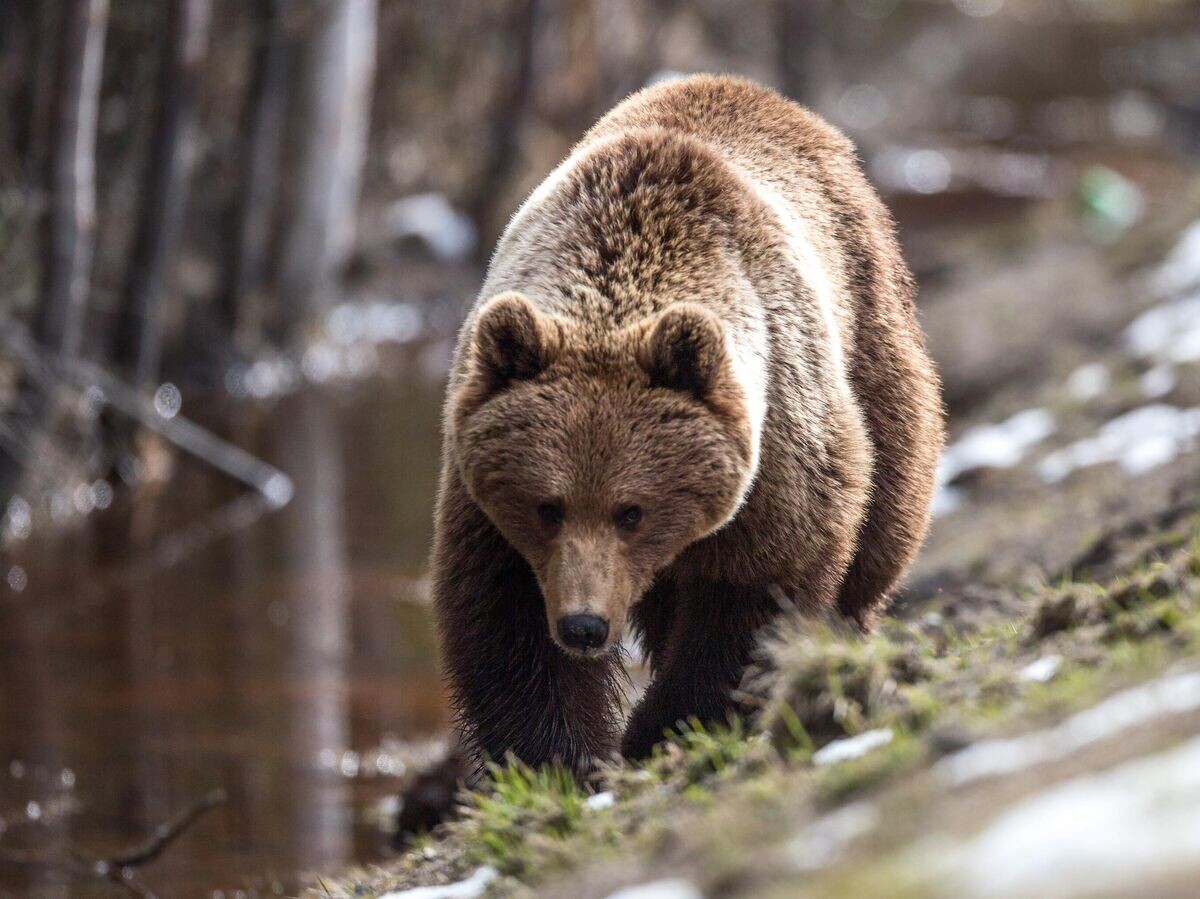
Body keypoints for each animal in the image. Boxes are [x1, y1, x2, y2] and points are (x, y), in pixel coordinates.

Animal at [432, 74, 944, 773]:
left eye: (631, 510)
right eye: (547, 506)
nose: (584, 626)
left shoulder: (778, 443)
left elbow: (754, 592)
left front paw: (667, 726)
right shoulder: (482, 488)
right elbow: (504, 618)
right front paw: (563, 756)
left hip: (870, 327)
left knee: (885, 508)